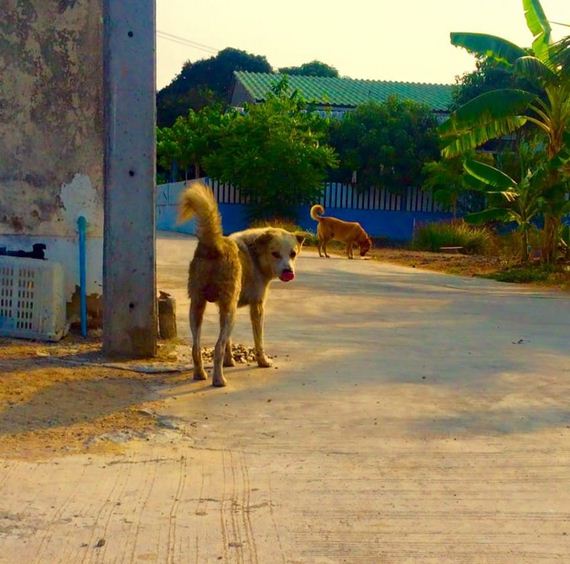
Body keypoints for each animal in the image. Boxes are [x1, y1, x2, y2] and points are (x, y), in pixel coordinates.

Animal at [179, 183, 304, 386]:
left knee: (196, 347)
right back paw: (218, 380)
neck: (256, 252)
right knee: (218, 346)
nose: (288, 272)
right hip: (230, 312)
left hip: (198, 305)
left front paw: (230, 362)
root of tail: (215, 244)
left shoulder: (224, 306)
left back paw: (200, 374)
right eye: (275, 254)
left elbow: (229, 342)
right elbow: (258, 339)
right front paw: (263, 361)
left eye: (293, 254)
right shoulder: (256, 306)